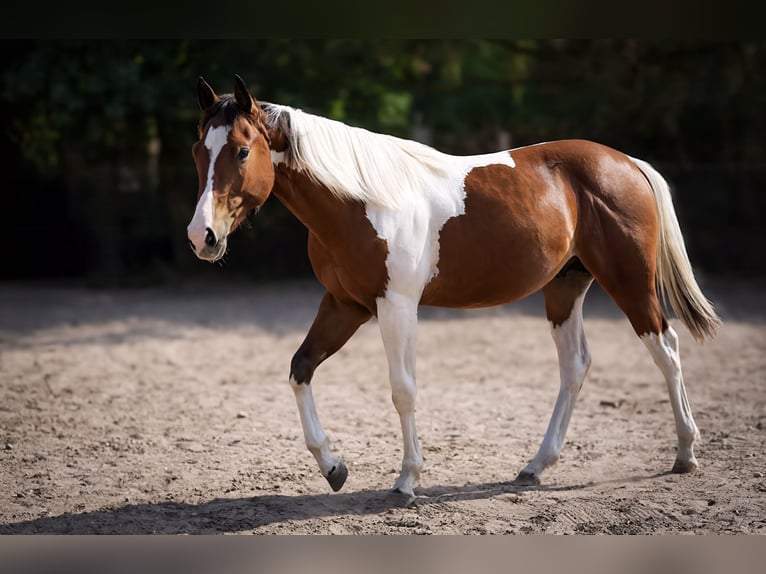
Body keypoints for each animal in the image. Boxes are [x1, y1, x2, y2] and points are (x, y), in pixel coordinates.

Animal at [186, 75, 720, 499]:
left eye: (242, 151)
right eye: (198, 151)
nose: (202, 236)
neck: (361, 200)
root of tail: (626, 162)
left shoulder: (396, 307)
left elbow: (403, 390)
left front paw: (407, 480)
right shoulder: (344, 305)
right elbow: (300, 369)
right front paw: (333, 467)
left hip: (629, 284)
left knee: (667, 349)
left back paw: (685, 453)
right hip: (564, 290)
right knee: (576, 366)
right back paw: (535, 467)